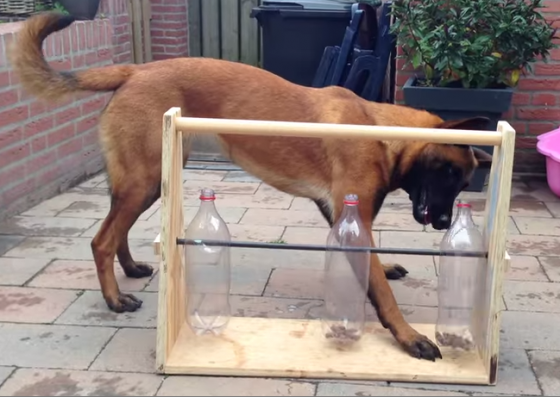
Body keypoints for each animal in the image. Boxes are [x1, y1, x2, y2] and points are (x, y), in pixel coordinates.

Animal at [9, 12, 490, 360]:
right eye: (449, 173)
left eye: (464, 181)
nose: (444, 221)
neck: (378, 128)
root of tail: (135, 69)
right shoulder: (354, 211)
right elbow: (383, 294)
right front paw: (409, 336)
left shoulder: (341, 213)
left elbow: (366, 260)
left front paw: (385, 267)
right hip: (144, 180)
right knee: (101, 239)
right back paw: (114, 299)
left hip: (147, 181)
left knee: (117, 229)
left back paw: (130, 269)